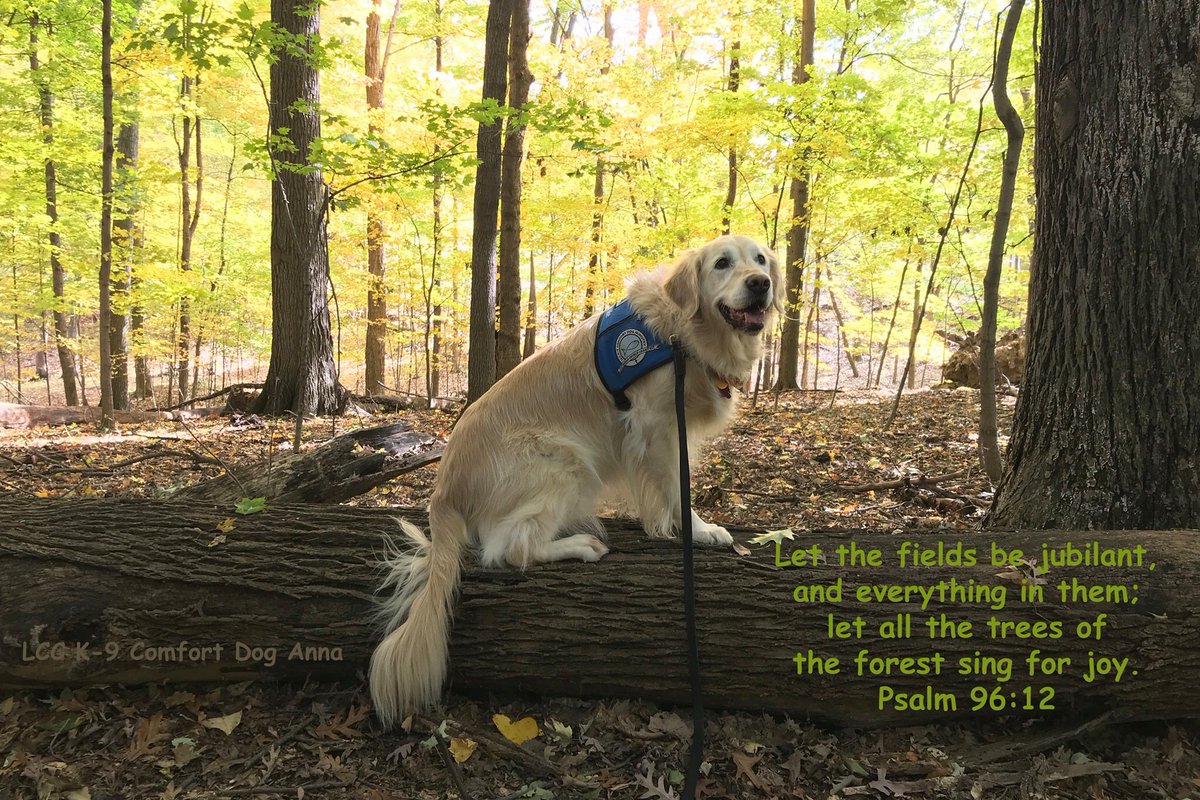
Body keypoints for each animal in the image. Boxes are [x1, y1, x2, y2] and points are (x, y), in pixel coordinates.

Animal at [369, 232, 782, 724]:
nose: (760, 284)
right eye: (722, 263)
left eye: (760, 260)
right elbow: (677, 488)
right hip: (566, 463)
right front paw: (699, 531)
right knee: (509, 550)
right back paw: (581, 545)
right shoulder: (657, 425)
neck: (681, 332)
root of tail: (442, 492)